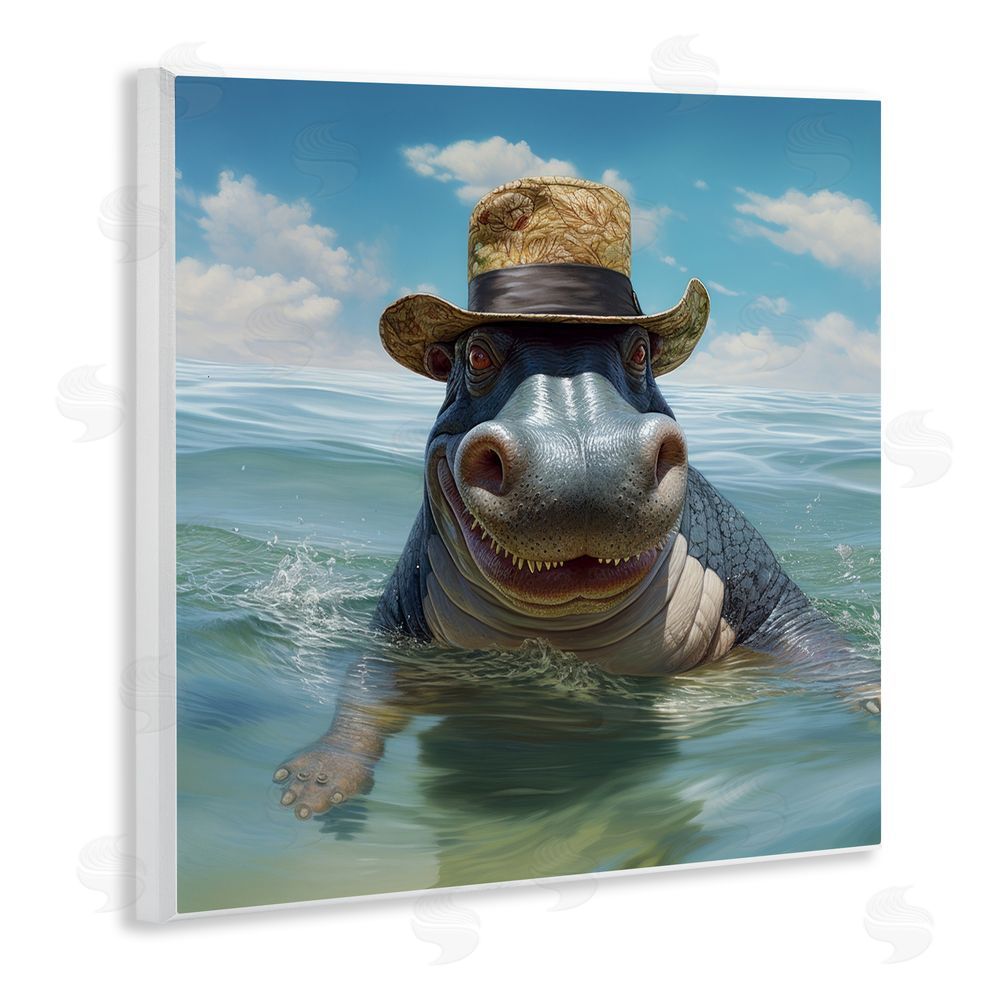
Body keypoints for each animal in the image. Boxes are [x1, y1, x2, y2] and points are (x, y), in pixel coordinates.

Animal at [273, 177, 871, 819]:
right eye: (474, 355)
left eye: (641, 352)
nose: (582, 455)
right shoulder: (396, 632)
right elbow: (367, 683)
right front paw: (312, 785)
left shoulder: (770, 595)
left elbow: (824, 646)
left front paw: (878, 699)